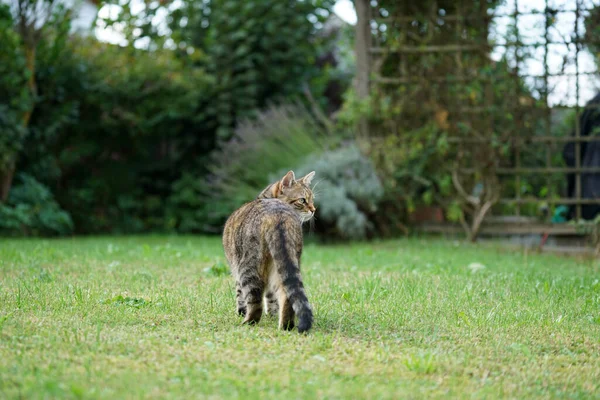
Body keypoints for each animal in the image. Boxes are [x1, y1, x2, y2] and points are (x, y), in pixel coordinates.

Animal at [223, 170, 316, 332]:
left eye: (311, 200)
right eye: (303, 200)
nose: (313, 209)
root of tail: (279, 214)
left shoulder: (236, 271)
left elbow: (239, 295)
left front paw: (241, 312)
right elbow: (272, 298)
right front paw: (272, 315)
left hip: (248, 267)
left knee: (255, 303)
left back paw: (247, 322)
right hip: (286, 263)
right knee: (286, 295)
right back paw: (285, 325)